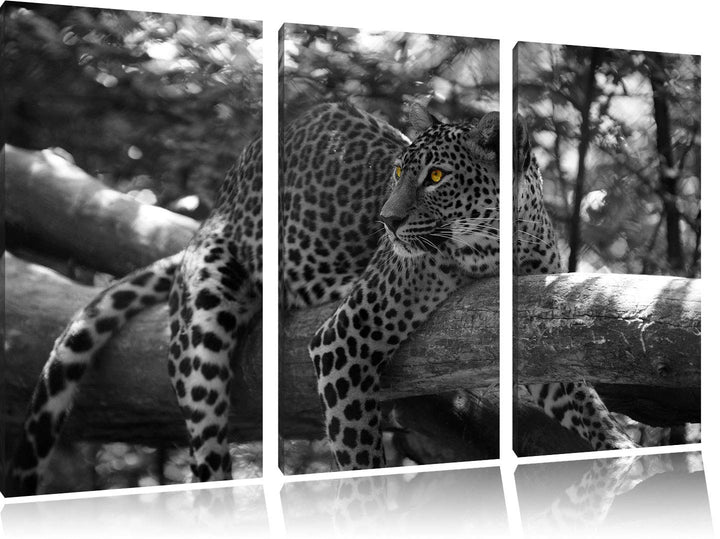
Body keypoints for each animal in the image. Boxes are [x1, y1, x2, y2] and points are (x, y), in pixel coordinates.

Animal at [7, 102, 634, 495]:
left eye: (435, 177)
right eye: (400, 172)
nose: (386, 221)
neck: (503, 243)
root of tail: (213, 210)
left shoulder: (536, 324)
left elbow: (583, 400)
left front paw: (622, 449)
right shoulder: (343, 341)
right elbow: (359, 462)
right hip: (203, 324)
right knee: (207, 456)